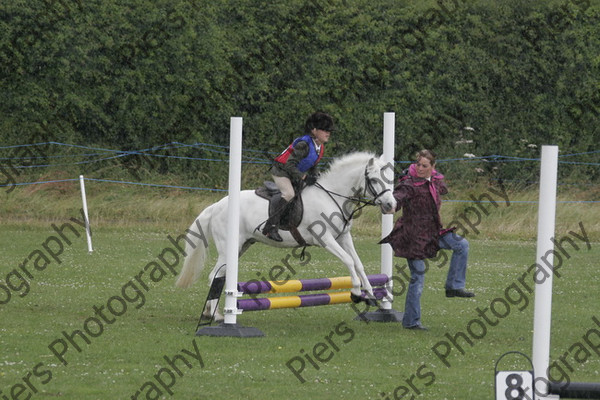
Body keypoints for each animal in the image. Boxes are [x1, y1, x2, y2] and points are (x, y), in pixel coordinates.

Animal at [176, 152, 396, 320]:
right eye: (374, 180)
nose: (391, 205)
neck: (331, 197)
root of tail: (217, 205)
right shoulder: (325, 239)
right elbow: (349, 261)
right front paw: (356, 292)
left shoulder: (343, 237)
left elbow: (358, 263)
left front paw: (371, 295)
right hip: (229, 248)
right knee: (215, 276)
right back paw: (216, 315)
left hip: (242, 246)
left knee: (218, 275)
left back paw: (211, 313)